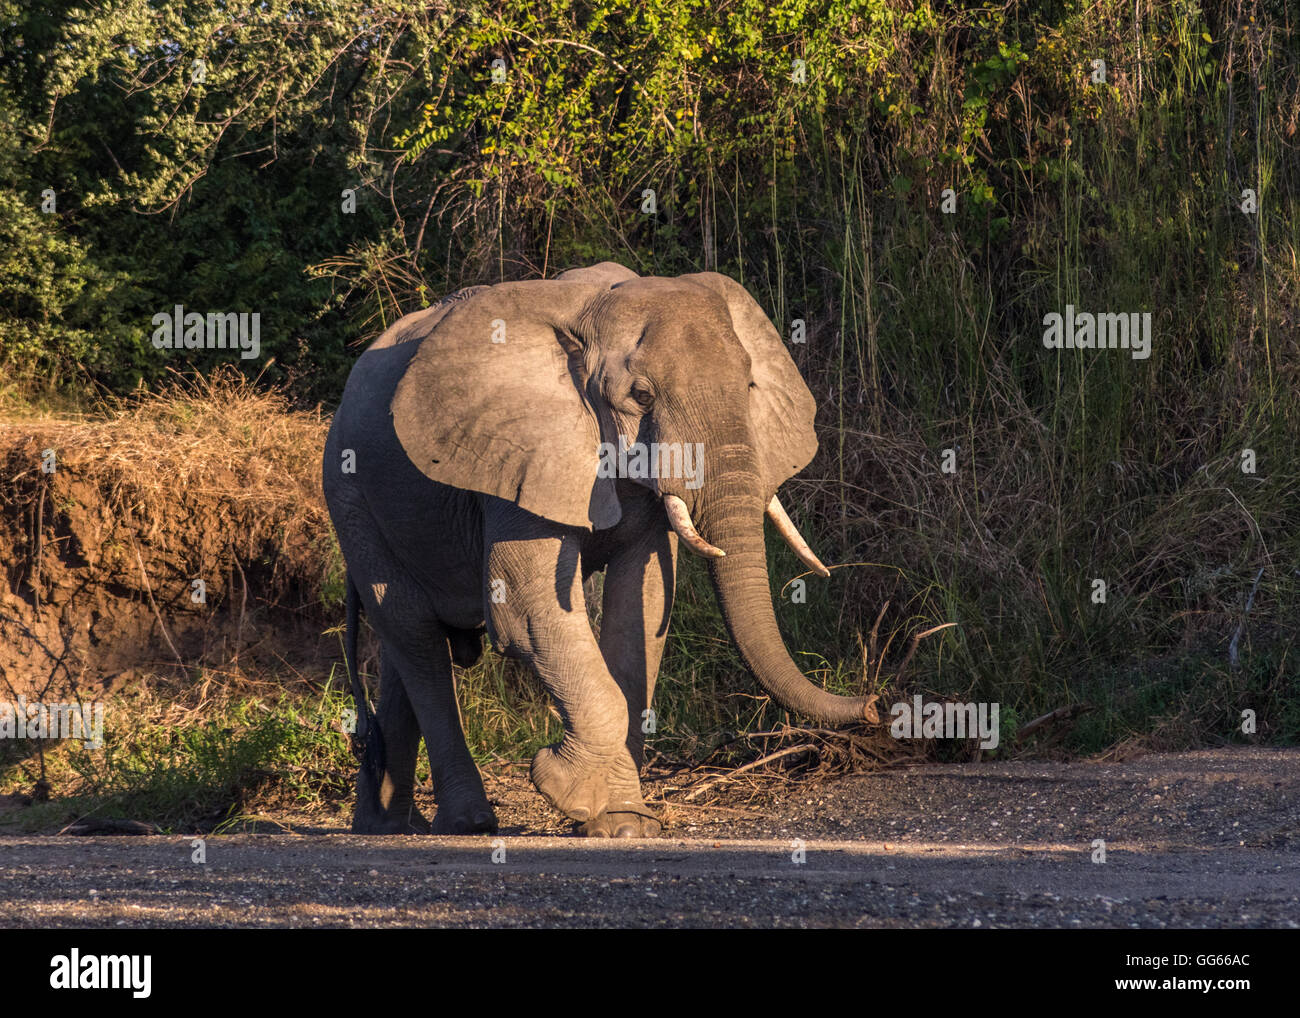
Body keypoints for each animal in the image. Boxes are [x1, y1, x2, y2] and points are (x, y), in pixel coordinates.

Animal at [322, 261, 873, 837]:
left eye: (749, 386)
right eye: (642, 396)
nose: (876, 705)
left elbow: (643, 608)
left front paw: (625, 823)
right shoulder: (521, 455)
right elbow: (524, 611)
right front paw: (573, 796)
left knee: (402, 647)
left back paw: (386, 825)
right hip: (350, 499)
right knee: (416, 638)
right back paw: (468, 823)